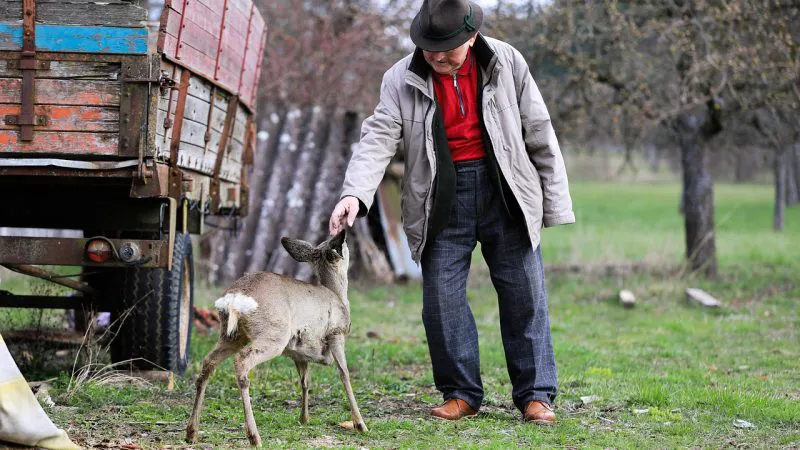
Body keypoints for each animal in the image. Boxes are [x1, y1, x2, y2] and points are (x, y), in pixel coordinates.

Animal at [186, 230, 368, 448]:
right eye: (344, 245)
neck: (338, 296)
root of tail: (235, 297)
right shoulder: (336, 333)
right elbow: (344, 374)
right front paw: (360, 424)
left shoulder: (299, 352)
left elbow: (305, 381)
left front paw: (304, 418)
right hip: (273, 334)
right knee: (242, 360)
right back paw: (254, 436)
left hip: (231, 335)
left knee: (208, 362)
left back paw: (191, 432)